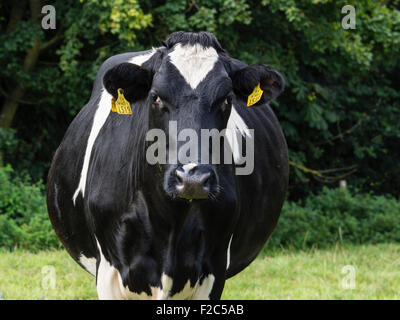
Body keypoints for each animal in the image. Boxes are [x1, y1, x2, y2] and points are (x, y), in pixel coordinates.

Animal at [47, 31, 290, 298]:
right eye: (156, 97)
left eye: (226, 100)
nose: (193, 178)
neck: (169, 225)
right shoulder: (108, 272)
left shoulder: (214, 268)